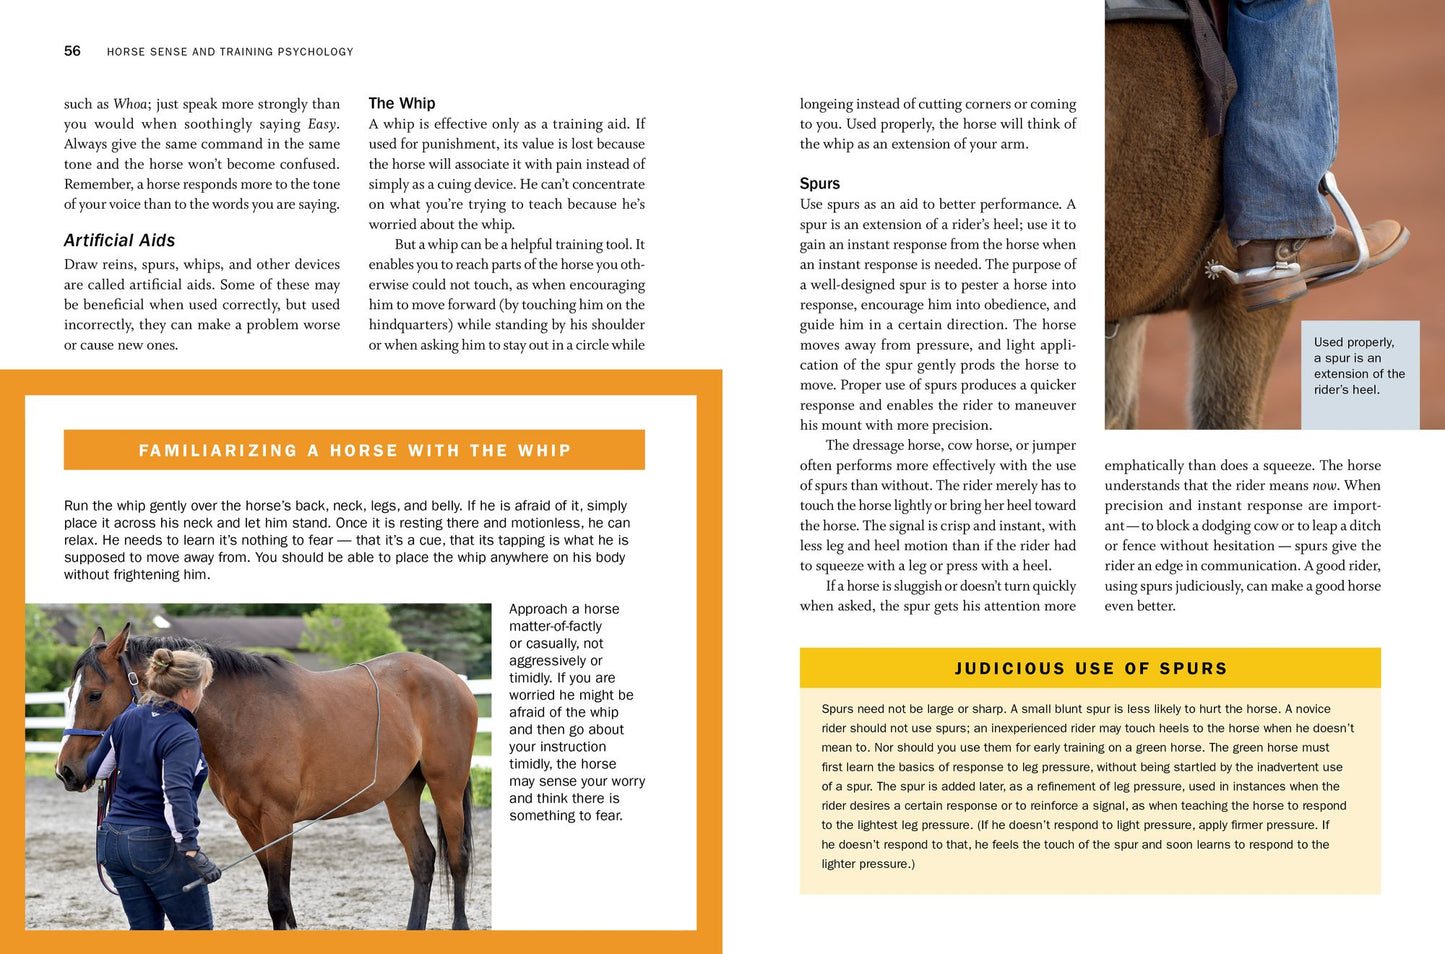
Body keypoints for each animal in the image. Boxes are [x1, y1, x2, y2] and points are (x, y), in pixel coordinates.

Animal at [54, 624, 479, 931]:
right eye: (68, 695)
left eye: (93, 694)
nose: (67, 772)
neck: (245, 718)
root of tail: (451, 679)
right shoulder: (250, 824)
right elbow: (282, 900)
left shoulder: (278, 820)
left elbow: (278, 900)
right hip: (401, 792)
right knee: (423, 859)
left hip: (446, 787)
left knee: (458, 859)